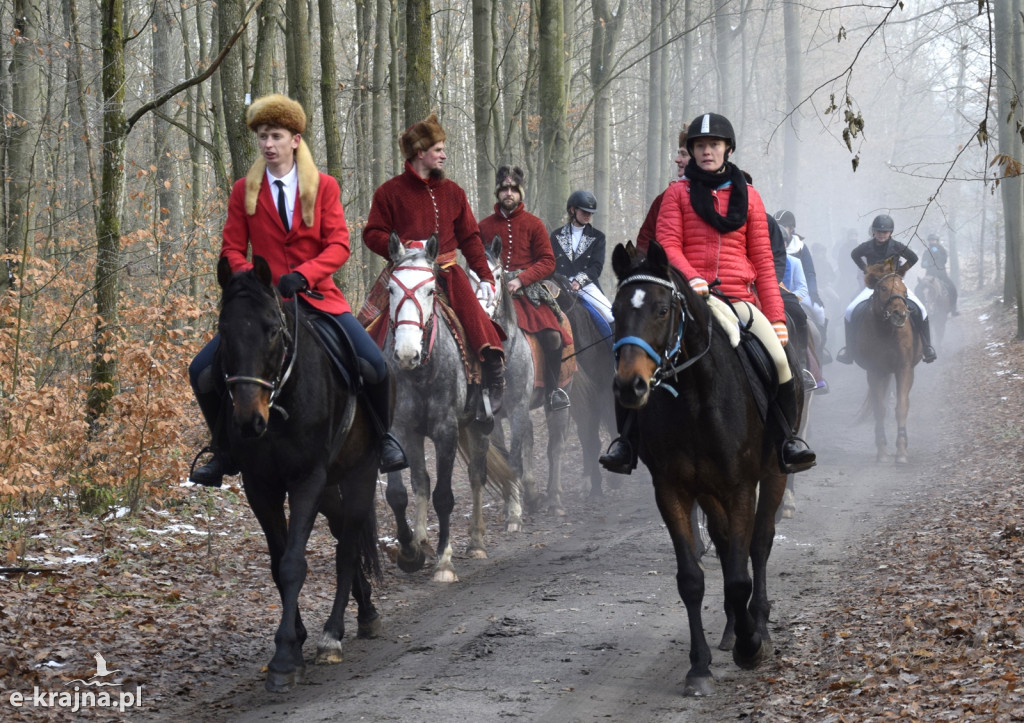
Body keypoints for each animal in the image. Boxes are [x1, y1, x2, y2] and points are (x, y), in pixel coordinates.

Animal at [215, 256, 380, 688]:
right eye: (223, 331)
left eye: (272, 329)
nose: (248, 421)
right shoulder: (261, 487)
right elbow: (278, 563)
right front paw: (295, 638)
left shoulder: (307, 480)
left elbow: (293, 564)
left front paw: (287, 656)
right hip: (329, 488)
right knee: (342, 533)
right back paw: (365, 610)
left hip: (360, 474)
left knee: (347, 546)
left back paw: (334, 633)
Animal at [382, 233, 516, 581]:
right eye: (391, 289)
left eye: (430, 290)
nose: (406, 353)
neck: (421, 370)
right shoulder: (401, 430)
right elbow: (400, 493)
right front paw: (410, 552)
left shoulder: (446, 431)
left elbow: (444, 496)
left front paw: (444, 561)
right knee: (421, 481)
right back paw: (422, 540)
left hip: (479, 427)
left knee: (476, 476)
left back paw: (476, 542)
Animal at [847, 260, 921, 462]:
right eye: (883, 288)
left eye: (904, 290)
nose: (900, 314)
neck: (887, 331)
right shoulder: (875, 370)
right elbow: (879, 408)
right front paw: (882, 451)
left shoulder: (904, 368)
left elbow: (901, 407)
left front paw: (901, 451)